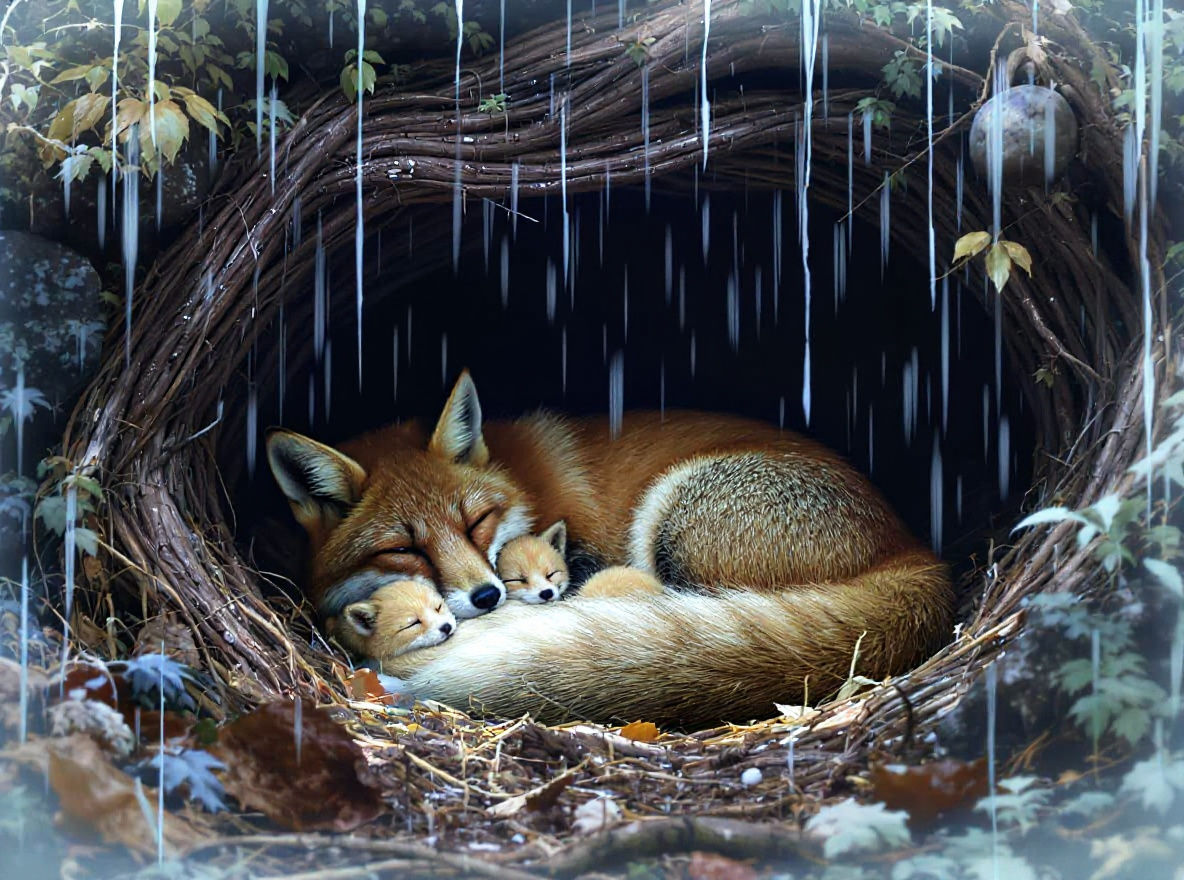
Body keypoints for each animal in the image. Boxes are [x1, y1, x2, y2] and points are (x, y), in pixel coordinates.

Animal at [267, 371, 954, 729]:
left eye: (477, 521)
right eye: (402, 548)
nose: (485, 597)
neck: (522, 488)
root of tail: (915, 552)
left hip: (673, 521)